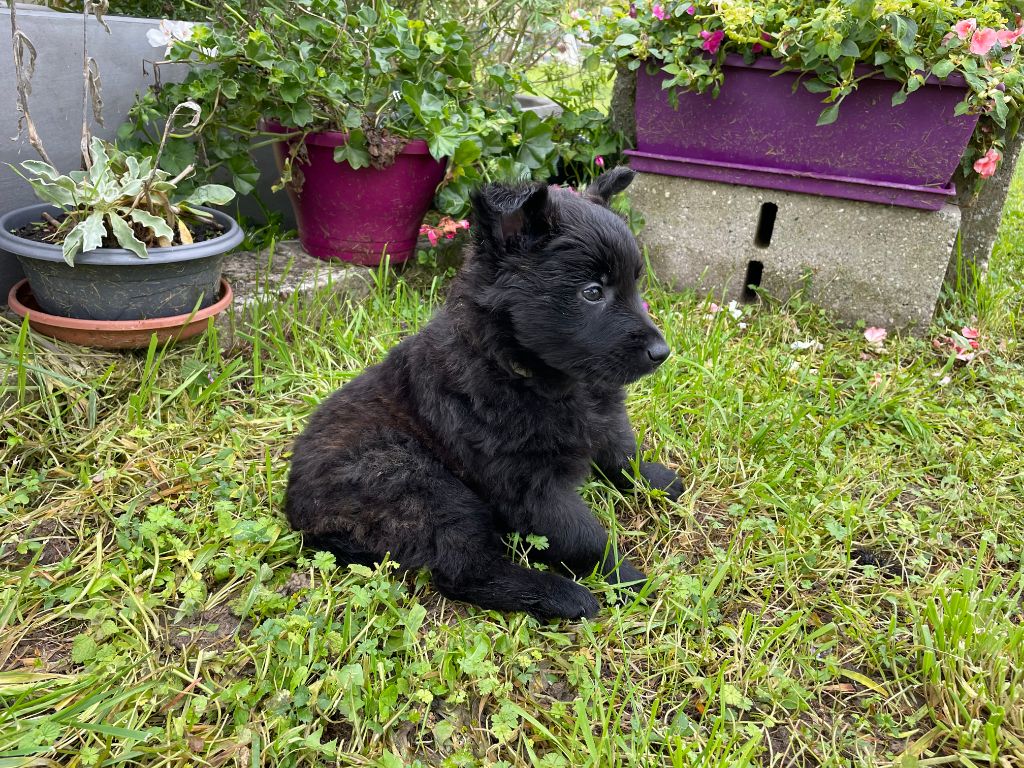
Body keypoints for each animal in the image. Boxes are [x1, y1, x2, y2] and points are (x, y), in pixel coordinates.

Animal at [284, 167, 683, 620]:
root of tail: (299, 514)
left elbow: (622, 456)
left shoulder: (604, 421)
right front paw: (626, 576)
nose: (662, 353)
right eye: (592, 292)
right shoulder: (530, 487)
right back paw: (562, 596)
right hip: (425, 488)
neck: (518, 369)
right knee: (465, 571)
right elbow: (584, 537)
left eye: (636, 283)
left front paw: (657, 481)